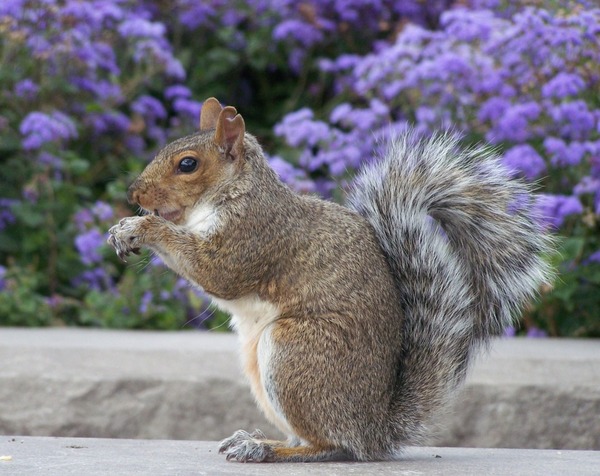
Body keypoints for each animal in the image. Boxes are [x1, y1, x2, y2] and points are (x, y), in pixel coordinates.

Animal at [106, 97, 552, 462]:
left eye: (188, 164)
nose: (134, 194)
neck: (237, 192)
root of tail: (374, 430)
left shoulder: (254, 237)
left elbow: (218, 273)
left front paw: (141, 228)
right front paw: (122, 229)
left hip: (295, 352)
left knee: (331, 445)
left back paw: (267, 450)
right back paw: (256, 439)